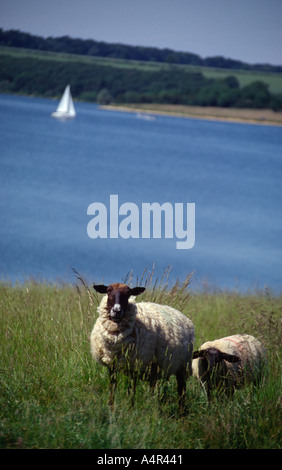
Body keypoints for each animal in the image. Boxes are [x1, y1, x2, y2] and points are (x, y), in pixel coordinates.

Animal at [90, 282, 194, 412]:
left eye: (128, 293)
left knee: (181, 391)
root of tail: (185, 318)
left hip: (182, 366)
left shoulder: (135, 365)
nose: (117, 310)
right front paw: (111, 408)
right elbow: (113, 388)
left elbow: (131, 390)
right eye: (108, 291)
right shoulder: (113, 365)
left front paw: (130, 409)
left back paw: (179, 412)